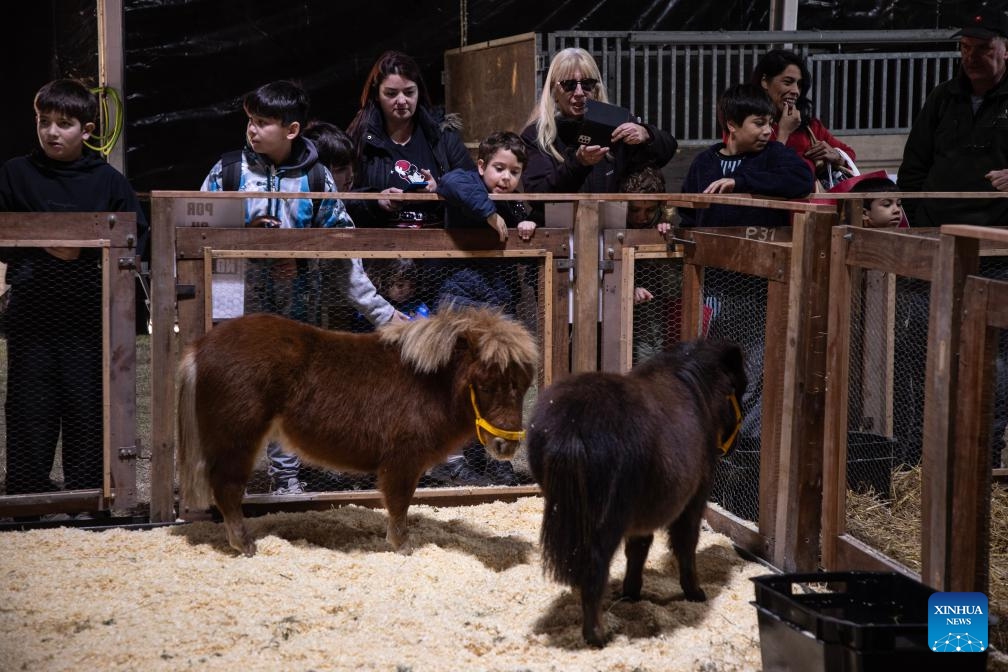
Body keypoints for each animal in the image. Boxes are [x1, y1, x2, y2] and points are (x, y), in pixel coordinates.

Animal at [176, 306, 539, 557]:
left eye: (523, 385)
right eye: (484, 385)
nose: (505, 446)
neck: (428, 384)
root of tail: (200, 347)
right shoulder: (402, 460)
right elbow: (399, 503)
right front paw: (401, 545)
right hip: (237, 440)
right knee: (227, 489)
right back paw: (245, 545)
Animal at [526, 339, 747, 647]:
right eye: (739, 389)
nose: (735, 444)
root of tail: (572, 428)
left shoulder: (643, 514)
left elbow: (638, 549)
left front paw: (631, 594)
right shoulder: (693, 500)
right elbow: (685, 545)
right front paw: (695, 593)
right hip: (607, 519)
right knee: (594, 568)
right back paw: (597, 634)